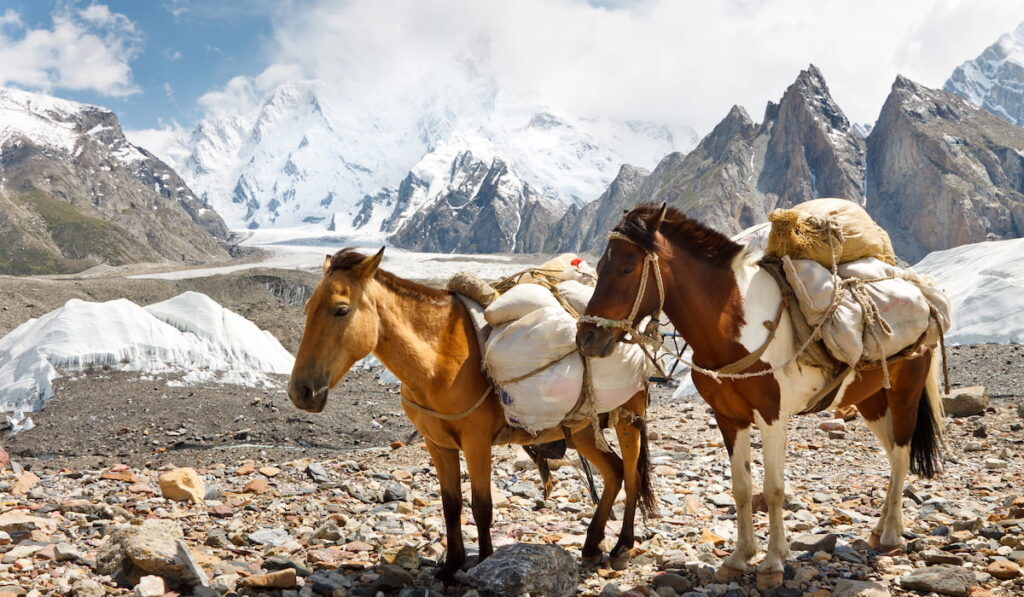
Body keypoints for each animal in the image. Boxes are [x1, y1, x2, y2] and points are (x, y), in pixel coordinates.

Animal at [288, 247, 655, 577]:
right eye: (306, 308)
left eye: (341, 310)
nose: (301, 392)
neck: (439, 360)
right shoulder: (438, 445)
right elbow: (451, 505)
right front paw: (451, 566)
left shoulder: (476, 442)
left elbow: (481, 506)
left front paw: (484, 561)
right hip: (581, 430)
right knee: (615, 471)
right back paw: (593, 545)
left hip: (628, 417)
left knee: (632, 474)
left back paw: (622, 544)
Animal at [577, 204, 942, 589]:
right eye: (599, 268)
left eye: (626, 267)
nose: (586, 338)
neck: (732, 325)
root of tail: (922, 297)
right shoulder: (729, 418)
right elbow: (741, 488)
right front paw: (739, 558)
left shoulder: (772, 418)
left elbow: (772, 489)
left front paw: (772, 565)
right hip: (870, 400)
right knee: (892, 452)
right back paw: (880, 528)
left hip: (904, 393)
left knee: (901, 454)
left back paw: (890, 534)